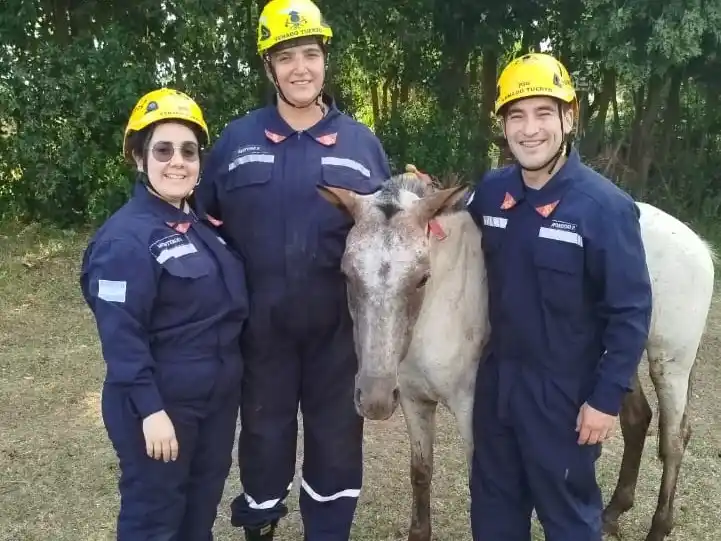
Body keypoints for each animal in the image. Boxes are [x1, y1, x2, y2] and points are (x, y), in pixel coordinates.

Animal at [317, 168, 715, 541]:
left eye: (421, 278)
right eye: (347, 274)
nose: (374, 400)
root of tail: (698, 244)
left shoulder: (471, 408)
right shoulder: (414, 401)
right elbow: (421, 472)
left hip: (669, 364)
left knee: (674, 439)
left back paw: (658, 527)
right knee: (637, 420)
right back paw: (612, 513)